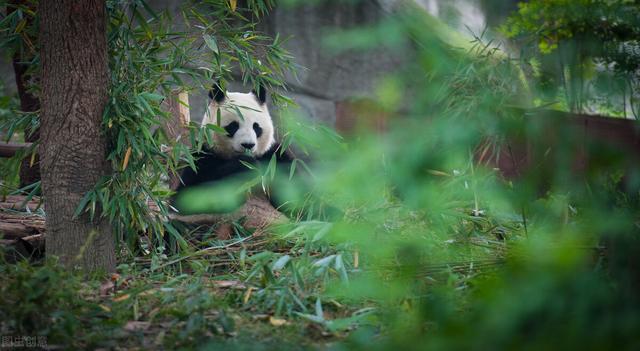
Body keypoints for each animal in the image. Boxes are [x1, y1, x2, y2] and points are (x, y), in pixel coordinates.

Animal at [174, 84, 296, 216]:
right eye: (233, 126)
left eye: (256, 126)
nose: (248, 145)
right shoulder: (203, 154)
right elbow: (188, 195)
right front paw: (247, 166)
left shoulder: (273, 155)